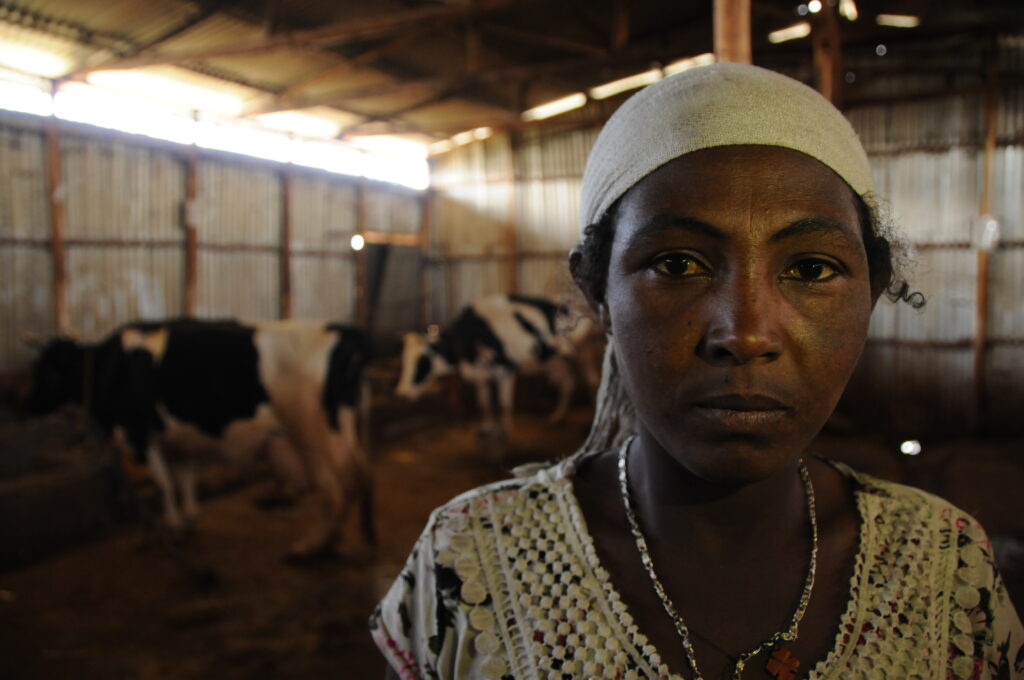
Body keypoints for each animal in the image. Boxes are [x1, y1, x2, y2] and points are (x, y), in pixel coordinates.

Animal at [27, 319, 372, 557]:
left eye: (46, 372)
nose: (23, 404)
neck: (110, 366)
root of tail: (341, 331)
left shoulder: (139, 434)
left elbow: (163, 483)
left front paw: (170, 528)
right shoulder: (178, 439)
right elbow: (184, 476)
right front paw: (189, 520)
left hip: (311, 434)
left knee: (333, 490)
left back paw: (312, 547)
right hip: (343, 430)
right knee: (356, 476)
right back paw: (340, 539)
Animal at [395, 292, 598, 436]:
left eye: (423, 361)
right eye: (403, 360)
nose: (402, 393)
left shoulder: (507, 368)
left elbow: (503, 403)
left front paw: (505, 430)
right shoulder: (478, 374)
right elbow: (484, 402)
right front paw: (487, 427)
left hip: (584, 350)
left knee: (590, 380)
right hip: (556, 359)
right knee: (568, 383)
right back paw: (557, 417)